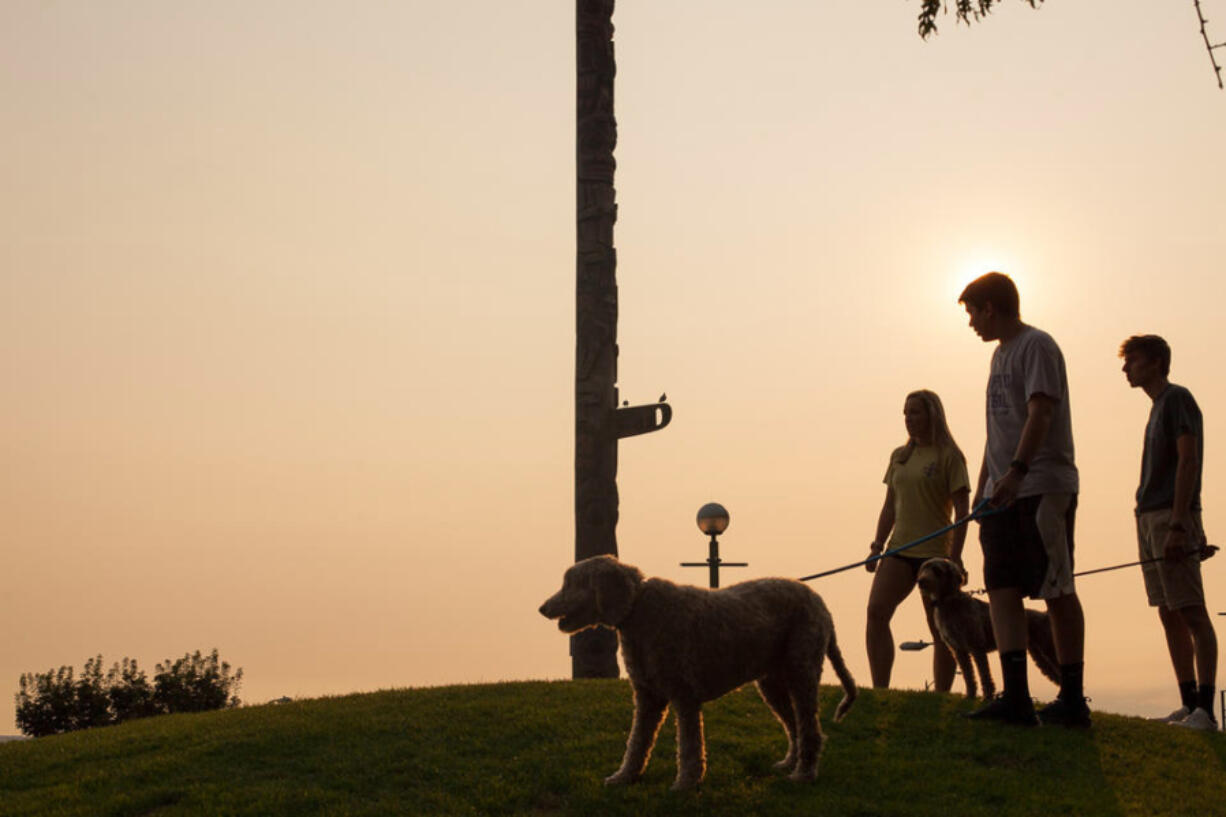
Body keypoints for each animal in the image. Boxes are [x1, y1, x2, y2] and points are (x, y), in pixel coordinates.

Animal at [541, 554, 858, 790]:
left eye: (571, 583)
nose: (542, 608)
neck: (637, 609)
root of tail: (819, 602)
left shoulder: (685, 694)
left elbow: (690, 745)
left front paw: (686, 783)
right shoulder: (647, 697)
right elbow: (637, 742)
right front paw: (625, 777)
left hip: (802, 670)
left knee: (810, 729)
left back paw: (804, 774)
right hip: (772, 683)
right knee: (794, 727)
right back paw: (790, 764)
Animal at [917, 556, 1059, 696]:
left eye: (937, 570)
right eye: (923, 568)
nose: (920, 581)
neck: (948, 602)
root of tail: (1044, 615)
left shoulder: (976, 645)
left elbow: (984, 673)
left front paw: (988, 695)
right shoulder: (958, 650)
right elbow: (968, 675)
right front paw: (970, 695)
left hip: (1048, 648)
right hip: (1039, 655)